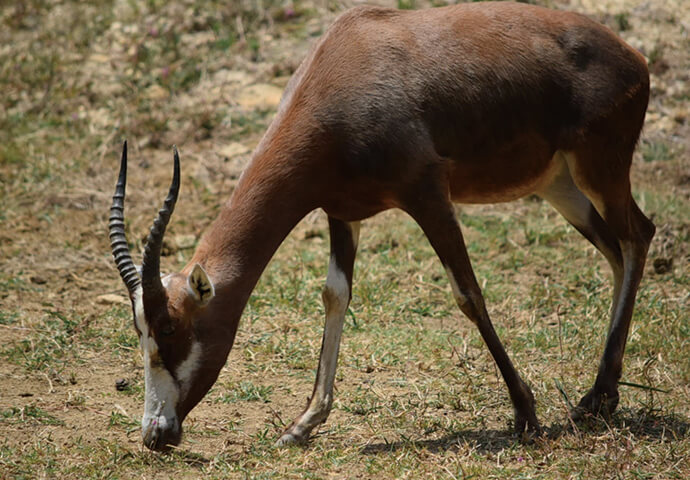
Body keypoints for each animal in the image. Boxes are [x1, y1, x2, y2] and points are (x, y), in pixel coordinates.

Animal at [107, 1, 652, 450]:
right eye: (139, 329)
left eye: (171, 327)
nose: (156, 434)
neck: (343, 64)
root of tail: (634, 59)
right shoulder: (342, 212)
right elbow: (334, 295)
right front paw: (302, 425)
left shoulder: (428, 194)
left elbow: (467, 293)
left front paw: (525, 414)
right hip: (560, 185)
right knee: (615, 249)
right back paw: (600, 397)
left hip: (599, 169)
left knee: (636, 235)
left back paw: (597, 398)